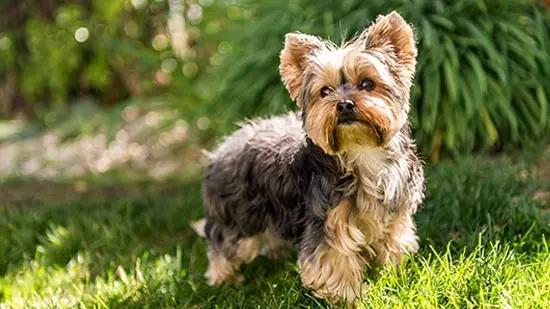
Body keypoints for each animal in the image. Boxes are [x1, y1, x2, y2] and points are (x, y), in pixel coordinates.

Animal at [193, 10, 426, 302]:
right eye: (325, 91)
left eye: (367, 83)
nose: (344, 104)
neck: (362, 152)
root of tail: (221, 149)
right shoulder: (327, 221)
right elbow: (335, 260)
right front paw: (350, 297)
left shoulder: (395, 212)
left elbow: (394, 242)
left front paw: (392, 274)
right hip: (240, 214)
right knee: (222, 241)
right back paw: (223, 279)